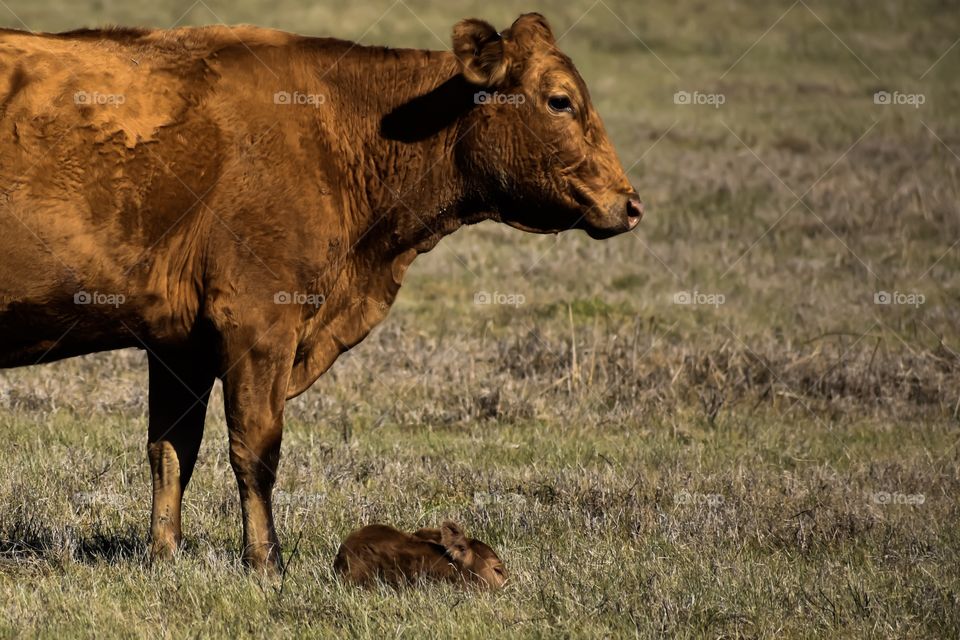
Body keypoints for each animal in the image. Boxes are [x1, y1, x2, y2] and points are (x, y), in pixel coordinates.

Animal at [0, 13, 643, 572]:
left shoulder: (178, 343)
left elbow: (171, 450)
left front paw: (164, 557)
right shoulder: (258, 322)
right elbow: (255, 450)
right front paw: (266, 564)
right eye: (560, 100)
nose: (631, 203)